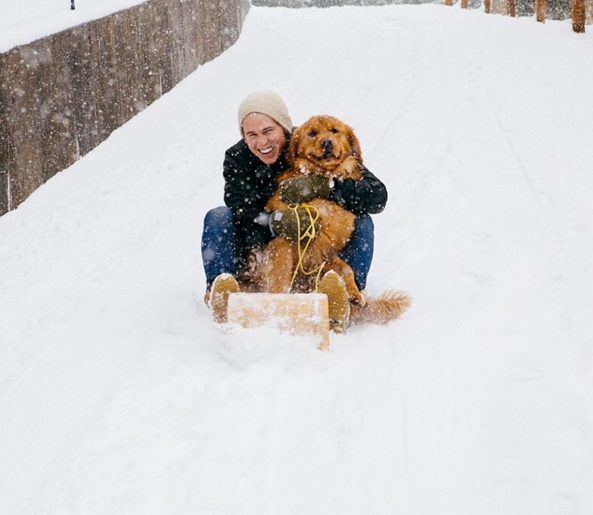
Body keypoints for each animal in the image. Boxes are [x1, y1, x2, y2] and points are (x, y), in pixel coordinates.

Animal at [245, 117, 408, 326]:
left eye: (334, 131)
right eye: (312, 133)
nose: (327, 142)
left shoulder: (324, 252)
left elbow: (347, 269)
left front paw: (354, 293)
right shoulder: (283, 242)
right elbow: (279, 279)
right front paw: (276, 306)